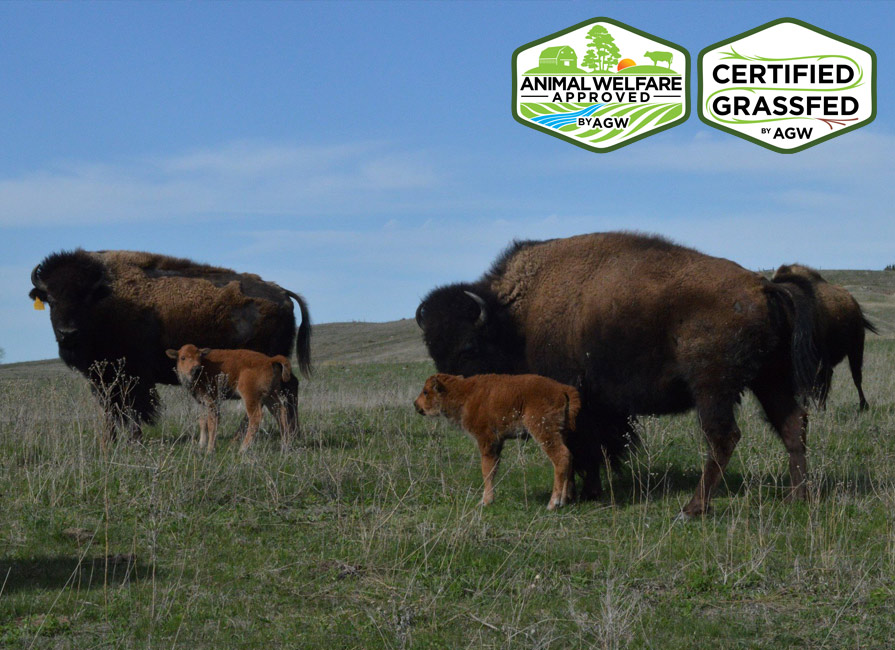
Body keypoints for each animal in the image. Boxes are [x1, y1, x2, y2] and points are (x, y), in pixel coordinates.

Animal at [28, 248, 312, 440]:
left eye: (85, 298)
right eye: (51, 298)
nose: (68, 333)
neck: (106, 298)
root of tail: (283, 293)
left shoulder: (133, 377)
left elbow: (132, 409)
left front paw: (133, 441)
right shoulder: (103, 379)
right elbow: (110, 409)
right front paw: (110, 442)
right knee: (288, 389)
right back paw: (291, 433)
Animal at [412, 372, 580, 508]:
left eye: (426, 392)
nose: (415, 405)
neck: (463, 393)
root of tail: (563, 389)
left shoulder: (486, 441)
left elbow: (486, 470)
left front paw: (485, 501)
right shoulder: (497, 443)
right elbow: (493, 469)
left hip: (544, 432)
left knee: (561, 457)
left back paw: (553, 503)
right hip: (561, 433)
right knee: (570, 457)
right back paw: (564, 500)